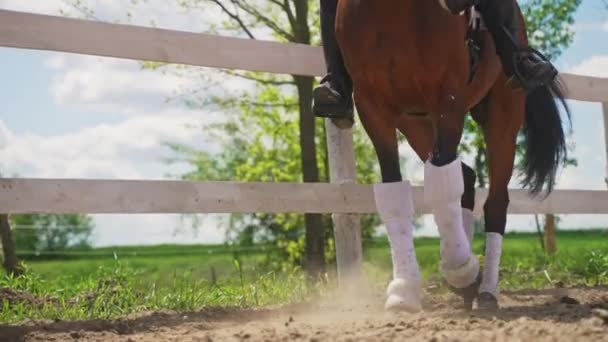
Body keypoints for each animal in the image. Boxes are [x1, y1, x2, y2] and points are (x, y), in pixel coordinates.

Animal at [338, 0, 568, 310]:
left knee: (495, 204)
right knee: (466, 177)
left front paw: (462, 272)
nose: (456, 4)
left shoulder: (448, 100)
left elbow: (441, 188)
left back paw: (486, 290)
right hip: (415, 123)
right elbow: (394, 193)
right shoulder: (372, 107)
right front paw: (405, 289)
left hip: (503, 118)